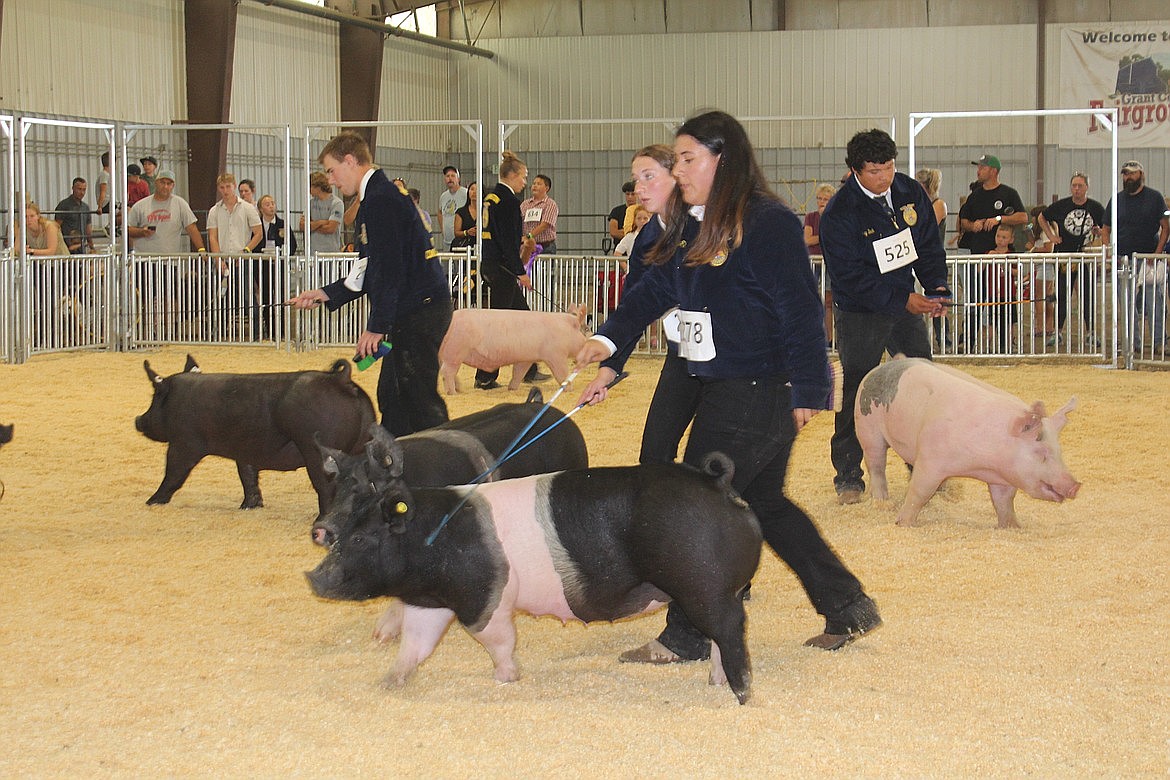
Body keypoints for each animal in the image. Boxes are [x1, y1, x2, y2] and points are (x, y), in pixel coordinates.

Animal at [306, 423, 762, 706]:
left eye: (361, 539)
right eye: (345, 533)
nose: (312, 577)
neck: (433, 541)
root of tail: (718, 483)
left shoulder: (485, 598)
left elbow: (498, 640)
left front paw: (506, 679)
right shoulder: (430, 602)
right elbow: (415, 647)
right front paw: (386, 684)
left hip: (706, 588)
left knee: (730, 633)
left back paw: (741, 696)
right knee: (720, 640)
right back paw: (716, 683)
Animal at [437, 304, 589, 390]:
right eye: (586, 329)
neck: (566, 330)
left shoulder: (526, 359)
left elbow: (518, 373)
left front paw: (512, 388)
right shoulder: (555, 355)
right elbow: (562, 374)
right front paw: (569, 388)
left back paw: (459, 388)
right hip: (455, 352)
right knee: (447, 372)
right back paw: (452, 392)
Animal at [856, 357, 1081, 528]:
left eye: (1059, 451)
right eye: (1041, 452)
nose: (1075, 486)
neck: (981, 465)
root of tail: (885, 365)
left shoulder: (1003, 478)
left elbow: (1004, 501)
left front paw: (1013, 527)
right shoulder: (930, 459)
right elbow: (919, 492)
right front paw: (903, 523)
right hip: (867, 428)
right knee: (876, 465)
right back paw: (882, 503)